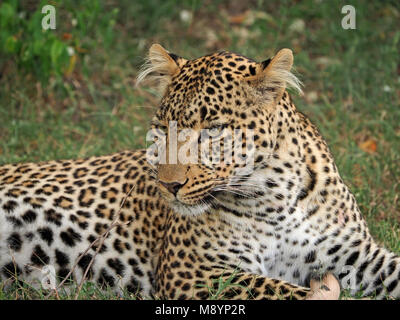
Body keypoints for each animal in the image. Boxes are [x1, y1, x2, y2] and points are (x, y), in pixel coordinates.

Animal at [0, 44, 398, 300]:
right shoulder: (193, 270)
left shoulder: (357, 253)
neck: (276, 198)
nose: (168, 185)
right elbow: (278, 289)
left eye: (212, 131)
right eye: (163, 129)